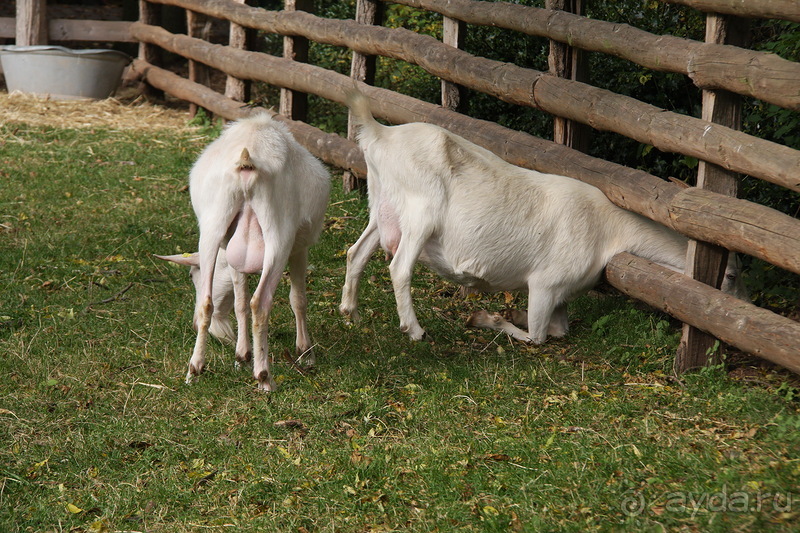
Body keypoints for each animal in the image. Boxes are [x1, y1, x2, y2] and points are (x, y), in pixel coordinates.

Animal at [162, 110, 328, 388]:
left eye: (192, 275)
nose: (194, 326)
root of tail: (247, 160)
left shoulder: (231, 252)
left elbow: (239, 302)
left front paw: (241, 356)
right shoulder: (299, 249)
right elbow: (298, 299)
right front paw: (306, 353)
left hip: (213, 225)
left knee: (208, 302)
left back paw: (195, 369)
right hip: (279, 233)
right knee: (260, 303)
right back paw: (264, 377)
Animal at [340, 86, 748, 344]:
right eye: (730, 274)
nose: (740, 306)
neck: (608, 227)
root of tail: (380, 134)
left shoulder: (562, 294)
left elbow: (558, 329)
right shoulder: (545, 283)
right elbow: (537, 336)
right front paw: (486, 318)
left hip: (381, 207)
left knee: (355, 252)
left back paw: (350, 313)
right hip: (420, 212)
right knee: (399, 268)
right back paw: (414, 330)